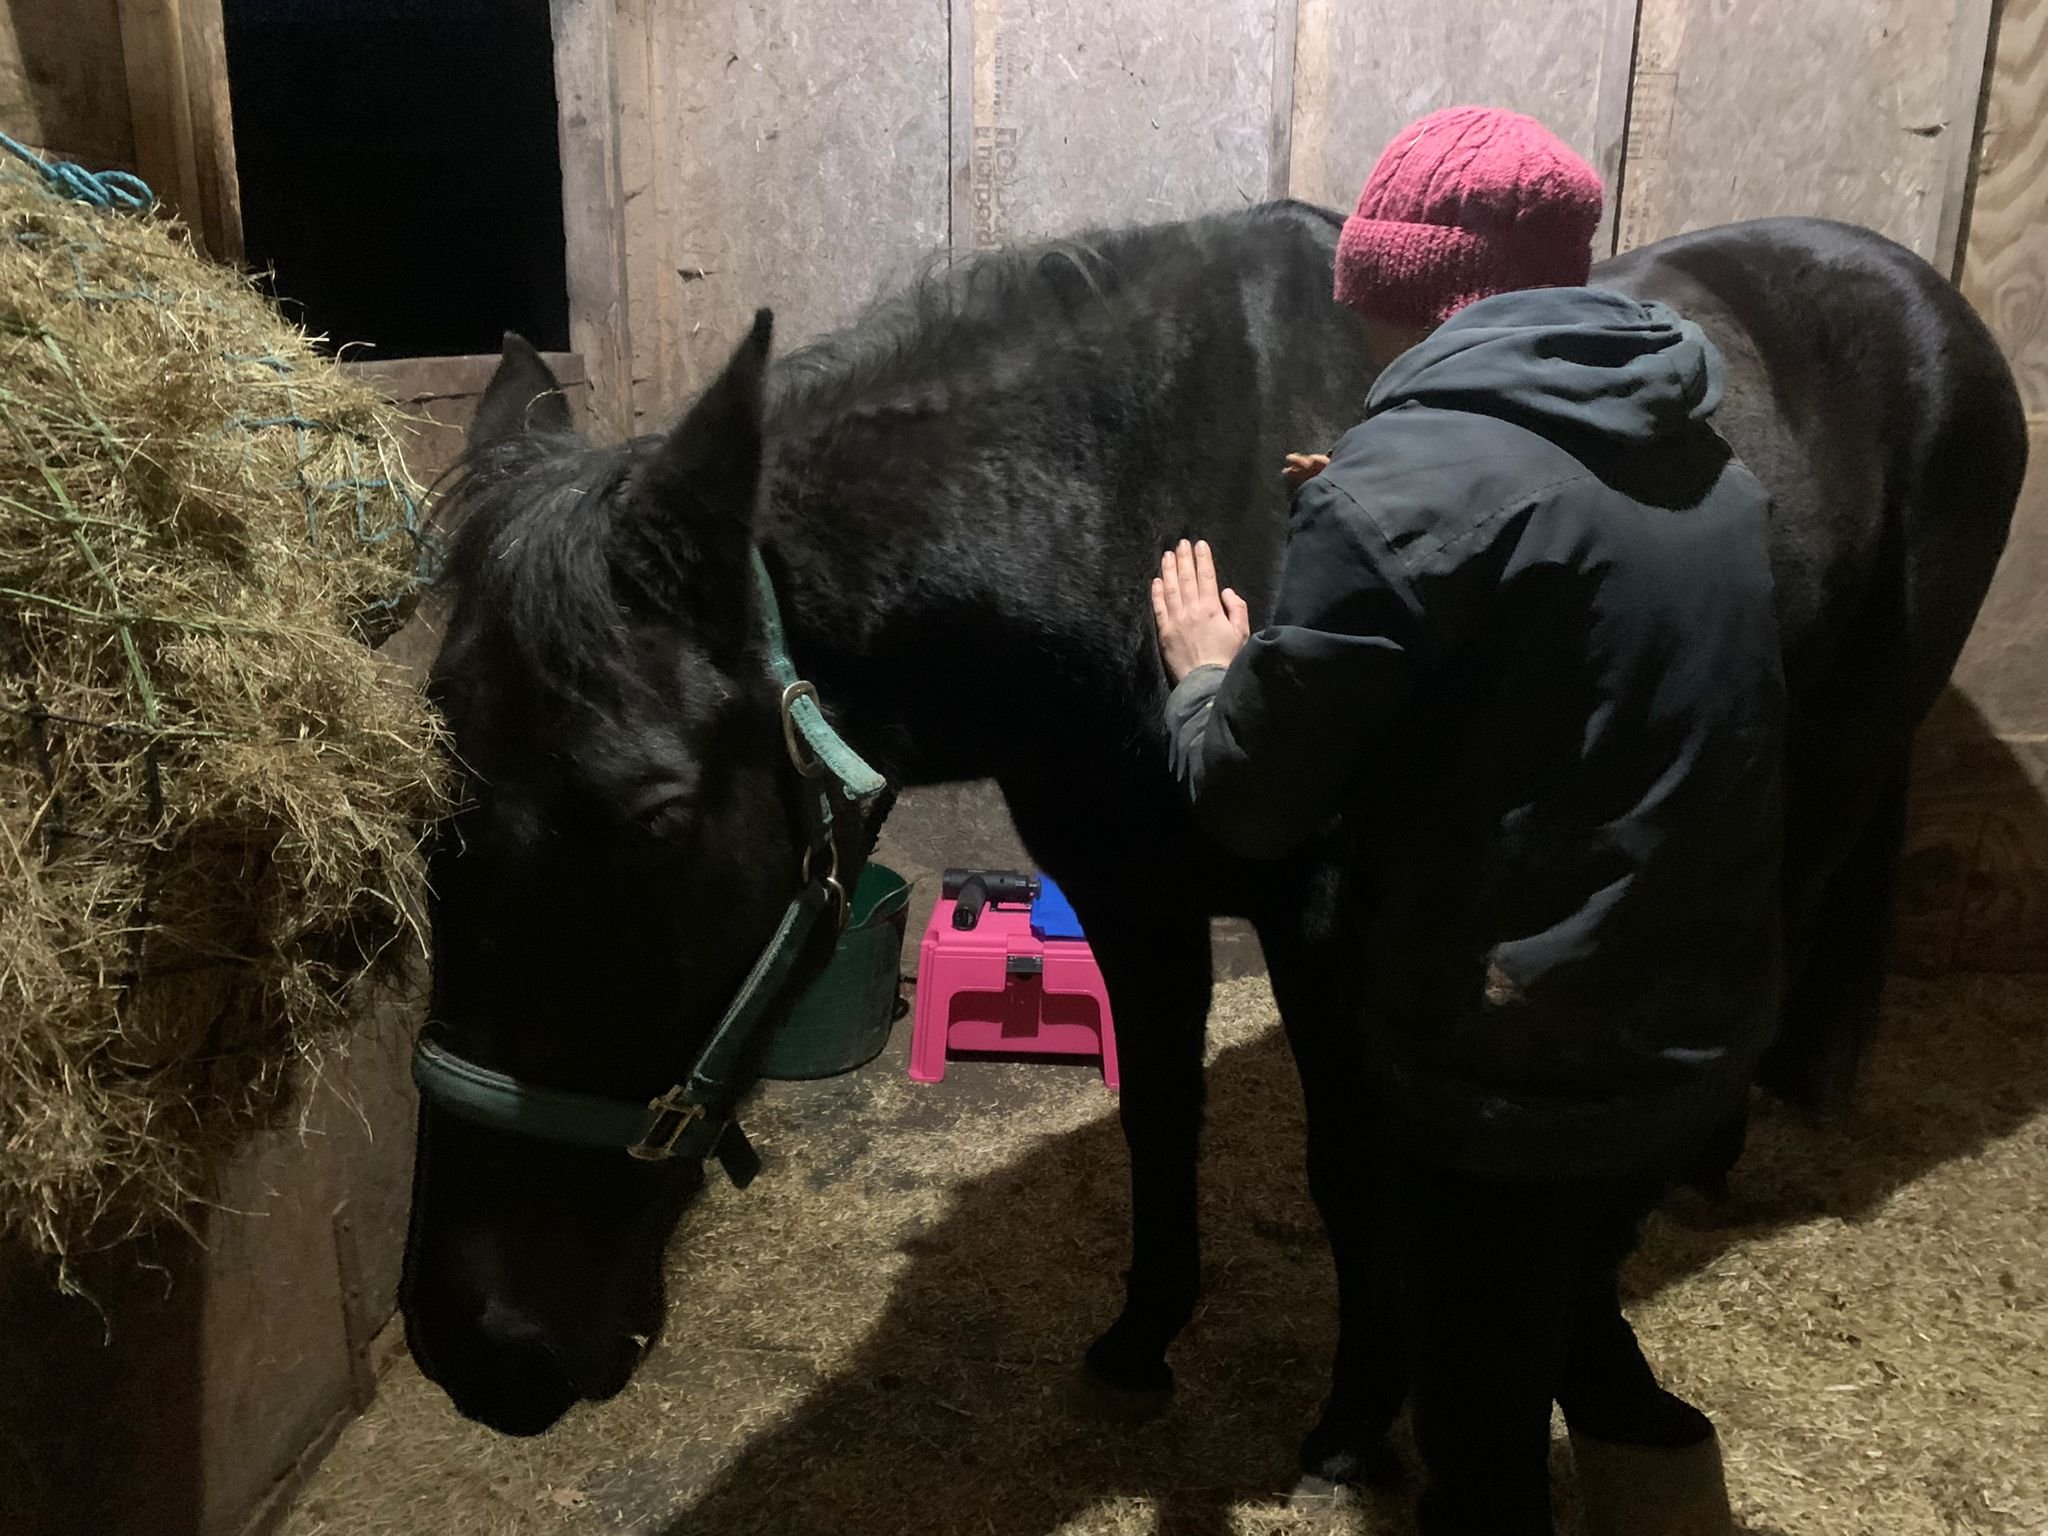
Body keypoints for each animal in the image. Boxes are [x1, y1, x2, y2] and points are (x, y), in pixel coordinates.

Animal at [398, 200, 2024, 1479]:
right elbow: (1157, 1117)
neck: (1130, 506)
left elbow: (1342, 1167)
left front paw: (1355, 1422)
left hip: (1838, 767)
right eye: (428, 805)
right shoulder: (1131, 896)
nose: (478, 1349)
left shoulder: (1319, 931)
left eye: (657, 820)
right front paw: (1141, 1338)